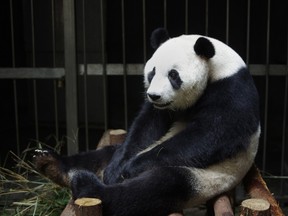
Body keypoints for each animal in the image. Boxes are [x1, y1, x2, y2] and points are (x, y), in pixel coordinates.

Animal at [33, 28, 260, 216]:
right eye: (152, 72)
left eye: (173, 75)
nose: (154, 96)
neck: (217, 66)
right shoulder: (160, 111)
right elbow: (146, 126)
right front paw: (117, 170)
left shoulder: (232, 89)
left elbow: (212, 134)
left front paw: (131, 168)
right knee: (102, 155)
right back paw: (51, 163)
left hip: (209, 178)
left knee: (160, 186)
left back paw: (88, 186)